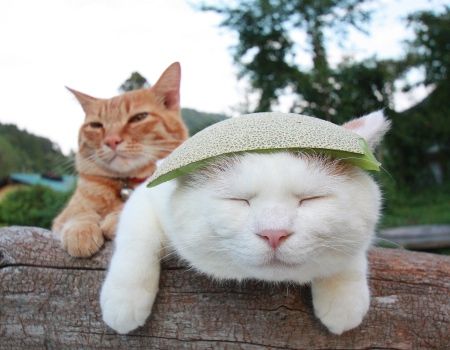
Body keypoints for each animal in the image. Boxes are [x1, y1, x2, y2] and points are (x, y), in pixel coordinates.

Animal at [52, 62, 188, 258]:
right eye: (96, 125)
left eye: (139, 118)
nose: (111, 140)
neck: (125, 185)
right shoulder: (65, 214)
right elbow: (79, 213)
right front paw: (80, 231)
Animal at [100, 110, 388, 334]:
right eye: (239, 201)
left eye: (310, 200)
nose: (274, 233)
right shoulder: (145, 196)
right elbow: (137, 241)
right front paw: (124, 299)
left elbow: (351, 250)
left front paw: (343, 297)